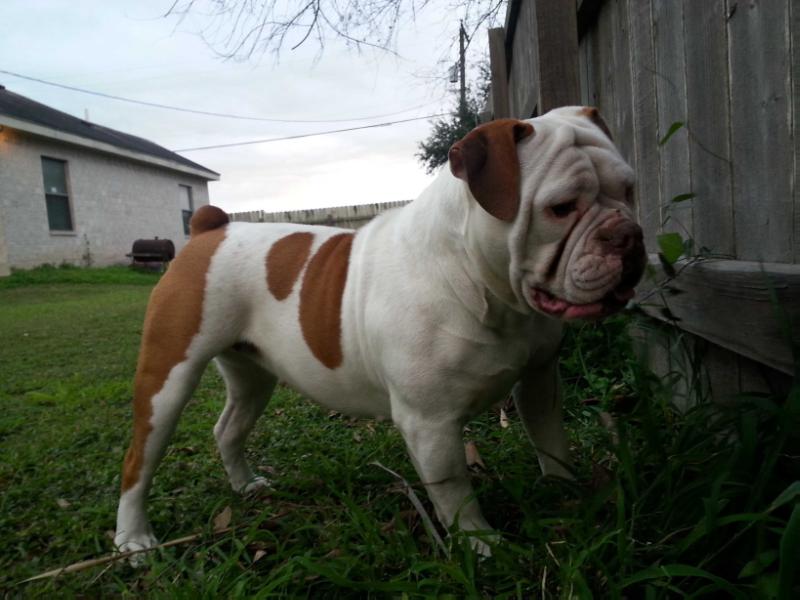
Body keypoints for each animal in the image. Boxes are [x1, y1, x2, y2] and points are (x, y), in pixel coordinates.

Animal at [115, 105, 648, 556]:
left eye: (628, 190)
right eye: (560, 208)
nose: (627, 234)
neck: (485, 286)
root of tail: (212, 227)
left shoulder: (539, 381)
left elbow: (551, 441)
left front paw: (567, 494)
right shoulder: (430, 423)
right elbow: (454, 490)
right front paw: (481, 546)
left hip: (252, 375)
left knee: (229, 427)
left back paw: (246, 487)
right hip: (168, 379)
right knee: (138, 460)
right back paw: (134, 541)